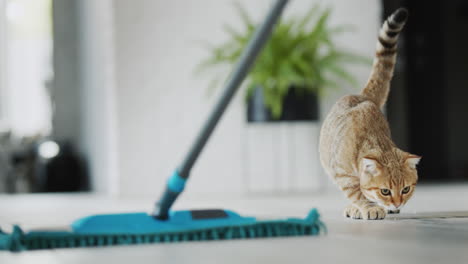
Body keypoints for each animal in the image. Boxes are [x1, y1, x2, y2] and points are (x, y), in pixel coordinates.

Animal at [318, 7, 420, 221]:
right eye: (385, 191)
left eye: (406, 189)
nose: (397, 204)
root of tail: (362, 96)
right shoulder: (343, 175)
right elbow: (357, 193)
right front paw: (368, 207)